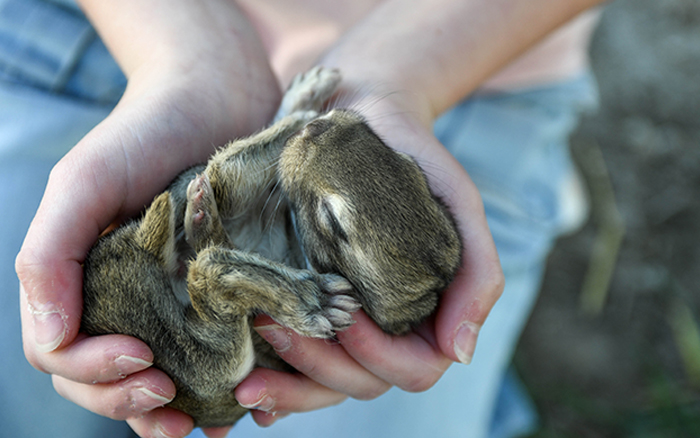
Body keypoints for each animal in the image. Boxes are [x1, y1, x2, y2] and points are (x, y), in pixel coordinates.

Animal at [82, 68, 462, 428]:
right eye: (409, 163)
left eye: (332, 220)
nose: (318, 128)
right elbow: (229, 181)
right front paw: (306, 101)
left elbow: (225, 187)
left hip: (204, 367)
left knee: (210, 268)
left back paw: (311, 299)